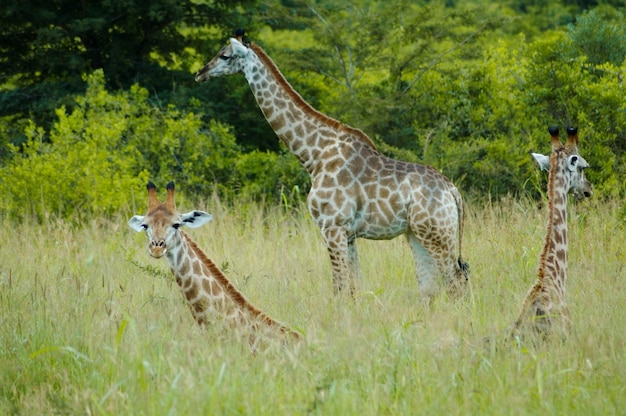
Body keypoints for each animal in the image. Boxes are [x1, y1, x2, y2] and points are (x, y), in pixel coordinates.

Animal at [193, 30, 466, 302]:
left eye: (225, 55)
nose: (199, 74)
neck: (315, 155)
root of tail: (453, 191)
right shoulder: (349, 234)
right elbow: (355, 287)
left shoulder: (332, 226)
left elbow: (340, 287)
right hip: (416, 232)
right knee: (429, 286)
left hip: (437, 233)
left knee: (456, 280)